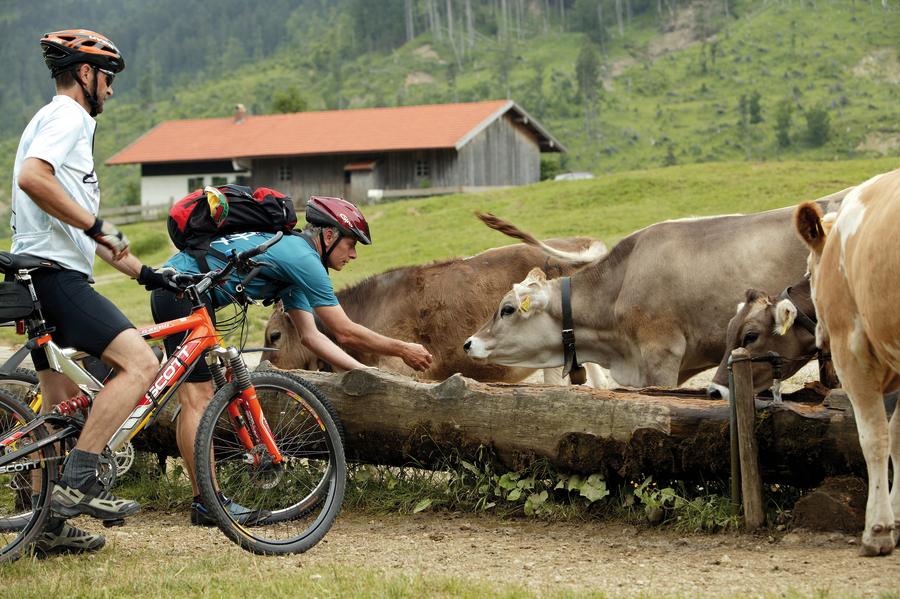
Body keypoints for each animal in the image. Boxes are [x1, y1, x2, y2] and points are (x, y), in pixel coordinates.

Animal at [796, 166, 900, 556]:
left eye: (809, 273)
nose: (819, 334)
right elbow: (898, 435)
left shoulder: (852, 352)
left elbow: (874, 437)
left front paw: (879, 528)